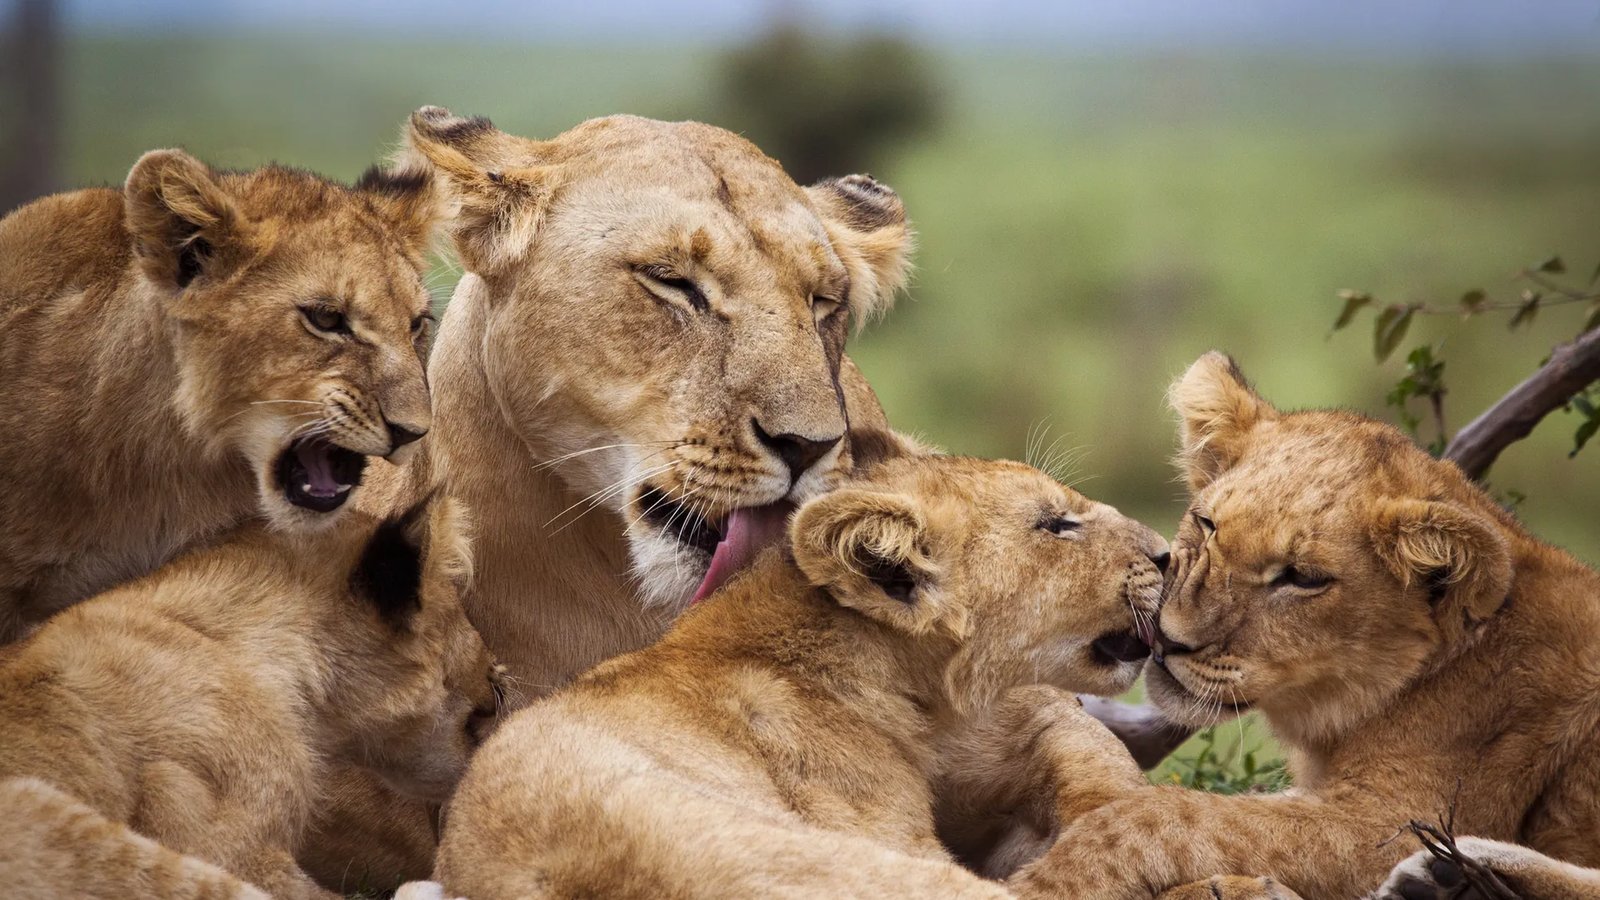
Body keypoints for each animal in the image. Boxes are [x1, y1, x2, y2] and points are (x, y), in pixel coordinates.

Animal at [991, 352, 1600, 900]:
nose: (1166, 639)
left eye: (1302, 579)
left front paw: (1050, 880)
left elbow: (1162, 815)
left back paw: (1459, 875)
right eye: (1207, 524)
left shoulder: (1394, 819)